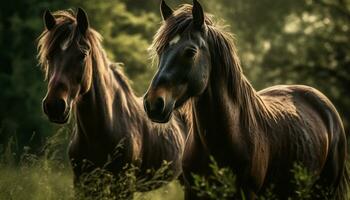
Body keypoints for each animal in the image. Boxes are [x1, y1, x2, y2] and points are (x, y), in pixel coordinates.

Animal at [36, 8, 187, 198]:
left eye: (82, 55)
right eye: (49, 56)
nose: (55, 106)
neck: (100, 131)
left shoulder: (124, 186)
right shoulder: (82, 184)